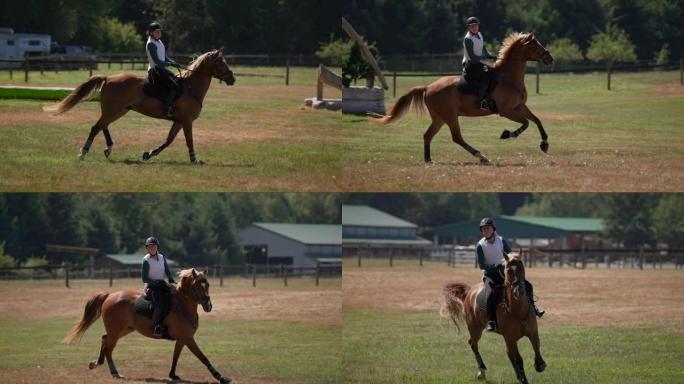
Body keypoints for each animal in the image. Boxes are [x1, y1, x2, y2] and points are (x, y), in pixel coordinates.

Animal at [43, 48, 235, 163]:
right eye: (220, 63)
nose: (232, 79)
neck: (190, 88)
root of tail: (108, 78)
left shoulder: (179, 121)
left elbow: (168, 141)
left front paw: (149, 154)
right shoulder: (187, 121)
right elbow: (189, 141)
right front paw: (195, 159)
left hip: (119, 110)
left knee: (103, 125)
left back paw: (108, 148)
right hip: (114, 110)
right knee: (96, 127)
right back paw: (83, 152)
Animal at [63, 268, 231, 382]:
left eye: (207, 284)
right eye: (197, 285)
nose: (208, 306)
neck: (182, 306)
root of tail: (110, 295)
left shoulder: (182, 339)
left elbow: (175, 357)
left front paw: (172, 375)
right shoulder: (188, 338)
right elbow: (203, 357)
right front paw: (220, 377)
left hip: (124, 330)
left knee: (104, 340)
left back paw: (97, 363)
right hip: (116, 332)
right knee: (109, 346)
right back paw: (114, 372)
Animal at [372, 32, 552, 164]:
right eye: (534, 45)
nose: (550, 58)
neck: (508, 78)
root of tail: (428, 87)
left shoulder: (520, 106)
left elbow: (536, 120)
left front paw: (544, 144)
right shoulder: (506, 111)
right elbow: (526, 123)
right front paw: (507, 134)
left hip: (440, 118)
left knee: (428, 135)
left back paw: (429, 159)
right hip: (450, 116)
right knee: (457, 137)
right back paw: (481, 156)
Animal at [440, 250, 548, 382]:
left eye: (522, 267)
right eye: (508, 270)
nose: (519, 291)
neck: (518, 311)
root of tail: (469, 292)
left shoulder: (532, 332)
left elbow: (536, 349)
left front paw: (539, 365)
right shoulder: (510, 338)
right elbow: (519, 359)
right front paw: (523, 379)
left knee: (508, 354)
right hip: (475, 328)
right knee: (473, 344)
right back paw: (481, 371)